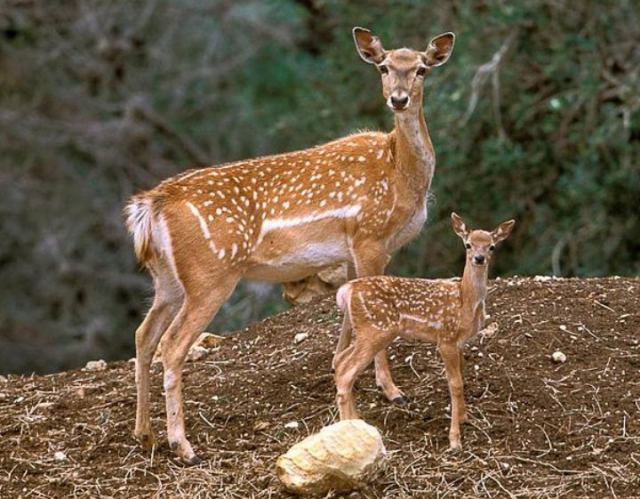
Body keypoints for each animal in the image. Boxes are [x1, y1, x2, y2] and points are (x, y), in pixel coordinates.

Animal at [125, 27, 456, 464]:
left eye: (421, 69)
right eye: (384, 67)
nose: (398, 99)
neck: (401, 174)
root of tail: (151, 205)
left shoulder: (349, 252)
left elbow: (348, 317)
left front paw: (338, 369)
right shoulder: (369, 237)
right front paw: (392, 390)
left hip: (168, 278)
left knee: (144, 336)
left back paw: (145, 435)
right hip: (210, 273)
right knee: (172, 344)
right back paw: (183, 445)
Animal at [332, 214, 516, 450]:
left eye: (491, 246)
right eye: (468, 244)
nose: (479, 258)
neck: (465, 301)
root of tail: (346, 290)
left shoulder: (460, 342)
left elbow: (463, 376)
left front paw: (465, 418)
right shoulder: (445, 338)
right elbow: (455, 384)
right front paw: (455, 439)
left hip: (367, 331)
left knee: (340, 361)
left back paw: (357, 424)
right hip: (375, 330)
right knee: (346, 370)